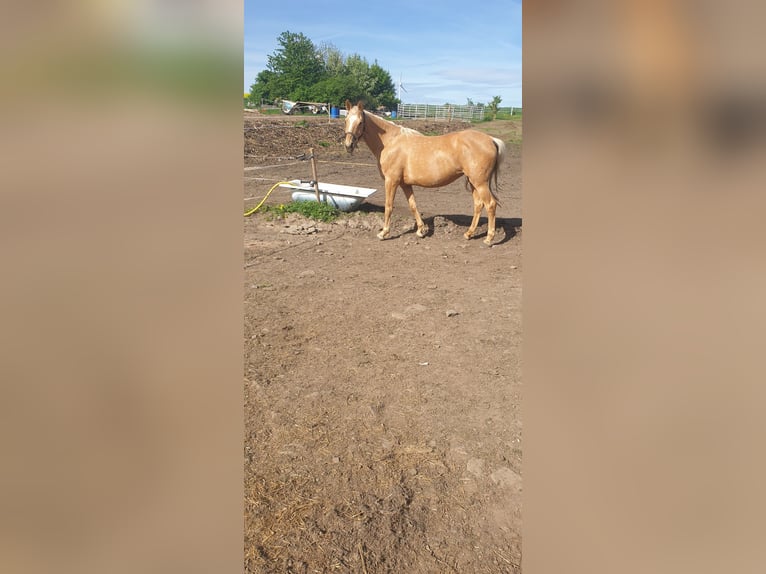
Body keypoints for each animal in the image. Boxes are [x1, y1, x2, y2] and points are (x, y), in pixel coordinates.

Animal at [343, 100, 506, 245]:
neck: (390, 142)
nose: (348, 145)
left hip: (480, 183)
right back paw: (469, 233)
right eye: (345, 120)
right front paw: (421, 230)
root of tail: (491, 140)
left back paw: (489, 238)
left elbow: (388, 206)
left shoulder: (391, 181)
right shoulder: (405, 184)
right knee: (478, 205)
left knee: (490, 204)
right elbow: (413, 205)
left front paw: (384, 233)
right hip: (474, 182)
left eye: (360, 122)